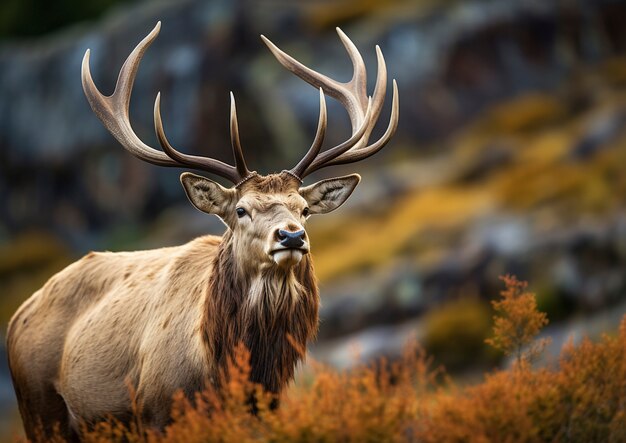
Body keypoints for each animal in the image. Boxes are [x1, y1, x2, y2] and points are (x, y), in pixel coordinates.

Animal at [7, 22, 398, 442]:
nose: (291, 236)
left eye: (304, 210)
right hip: (41, 409)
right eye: (241, 210)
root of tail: (17, 317)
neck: (219, 369)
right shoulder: (156, 412)